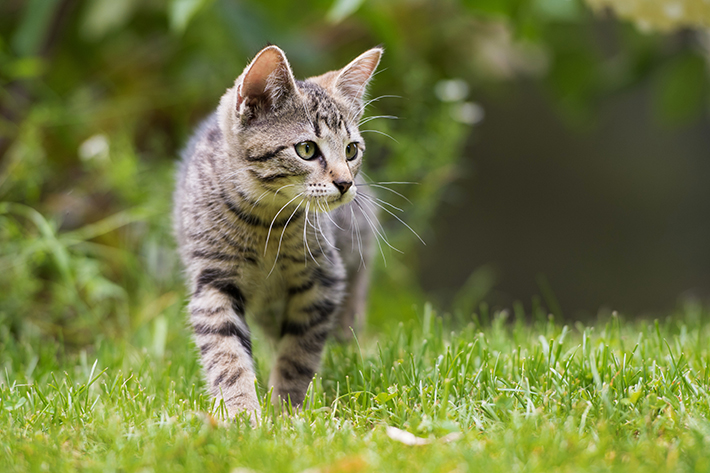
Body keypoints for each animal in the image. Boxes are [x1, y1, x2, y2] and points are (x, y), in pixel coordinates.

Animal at [175, 46, 382, 418]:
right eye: (306, 149)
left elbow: (298, 353)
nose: (346, 183)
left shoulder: (324, 281)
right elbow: (226, 354)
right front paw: (241, 414)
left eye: (351, 150)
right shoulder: (212, 283)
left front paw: (288, 409)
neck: (266, 223)